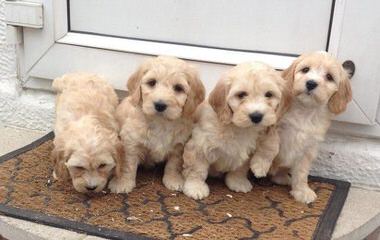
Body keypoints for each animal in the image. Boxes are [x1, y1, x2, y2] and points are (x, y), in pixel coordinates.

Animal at [108, 55, 205, 193]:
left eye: (178, 88)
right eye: (152, 82)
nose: (160, 105)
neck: (161, 123)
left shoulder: (179, 145)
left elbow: (174, 164)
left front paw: (173, 179)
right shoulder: (130, 143)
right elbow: (128, 164)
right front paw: (122, 182)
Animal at [183, 61, 290, 200]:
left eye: (269, 94)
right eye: (241, 94)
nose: (256, 116)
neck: (239, 127)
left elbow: (241, 168)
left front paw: (237, 181)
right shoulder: (200, 145)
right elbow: (197, 169)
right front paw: (195, 187)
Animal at [270, 51, 354, 203]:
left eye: (329, 77)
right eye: (305, 69)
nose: (311, 83)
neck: (305, 111)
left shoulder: (308, 147)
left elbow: (302, 172)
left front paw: (302, 191)